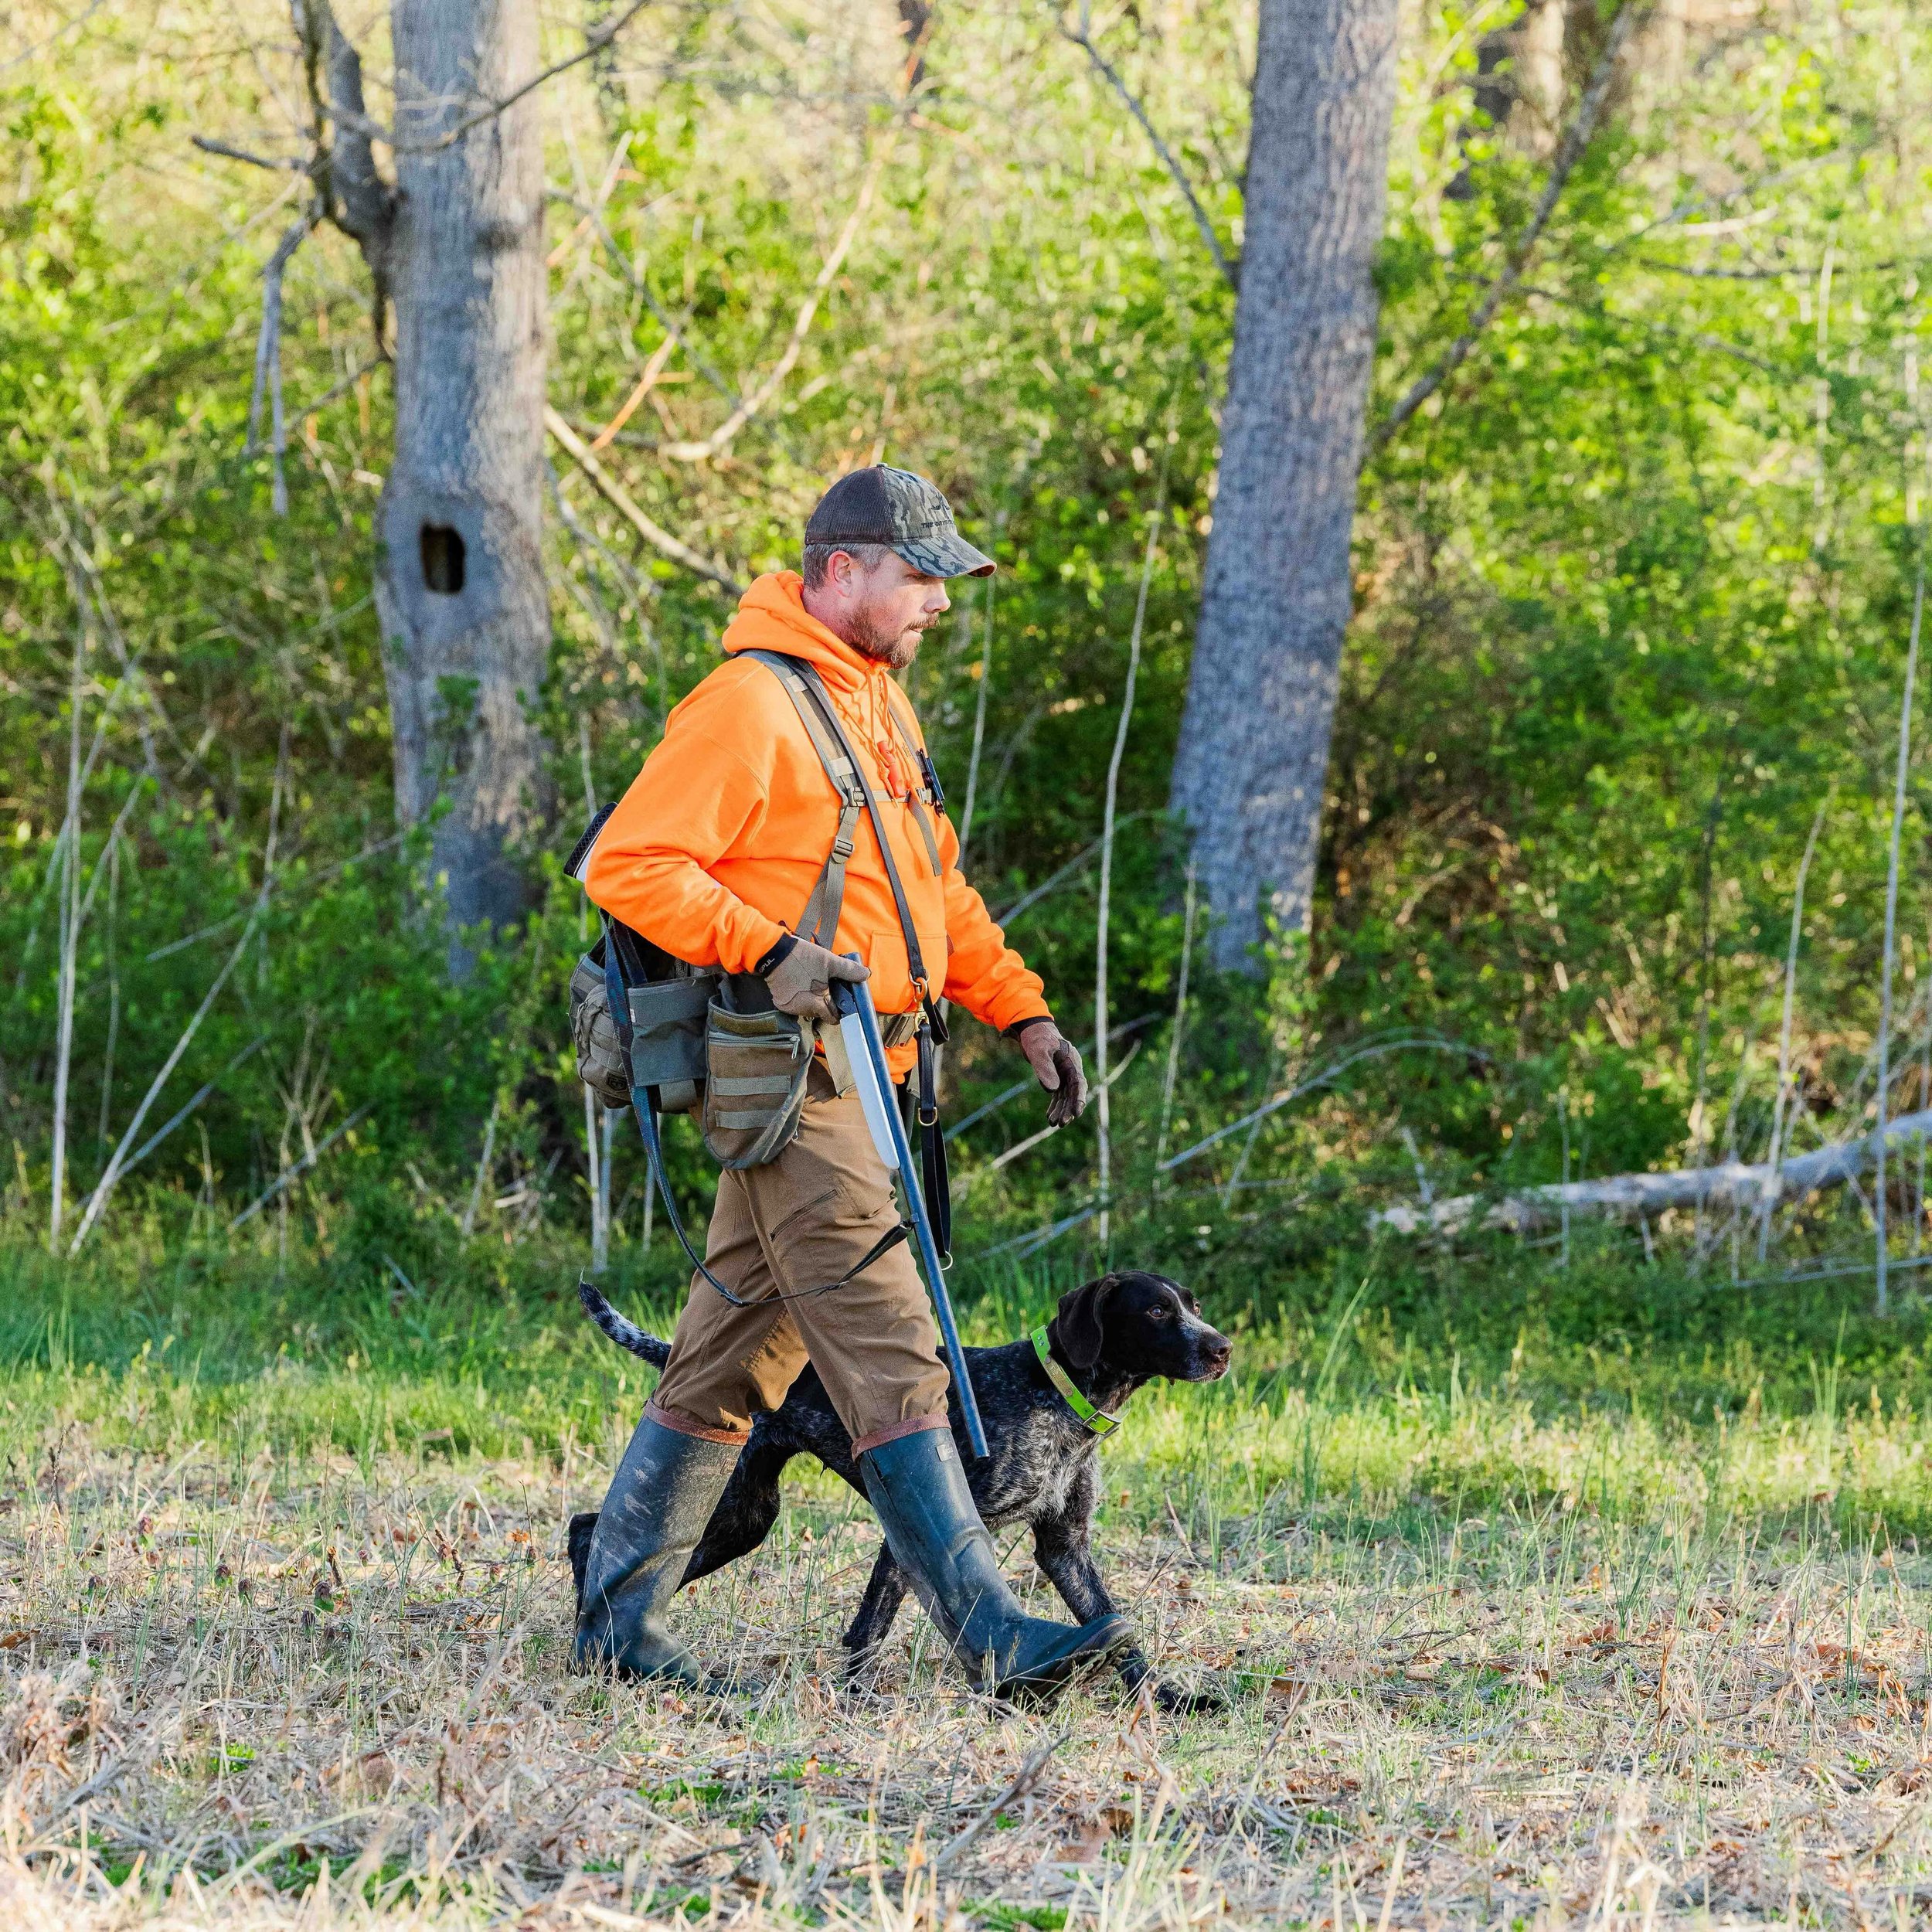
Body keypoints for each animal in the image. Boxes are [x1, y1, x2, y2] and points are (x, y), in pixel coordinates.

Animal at [572, 1275, 1236, 1716]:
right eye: (1157, 1309)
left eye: (1196, 1307)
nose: (1222, 1347)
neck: (1057, 1395)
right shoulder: (914, 1535)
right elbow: (873, 1627)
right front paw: (860, 1705)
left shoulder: (1066, 1550)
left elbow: (1121, 1636)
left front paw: (1169, 1698)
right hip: (736, 1509)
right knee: (588, 1528)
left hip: (741, 1516)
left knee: (602, 1532)